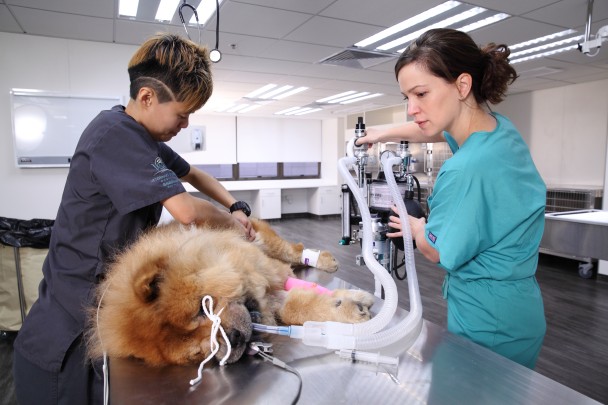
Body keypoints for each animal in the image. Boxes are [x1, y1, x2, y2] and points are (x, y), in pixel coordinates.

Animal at [86, 219, 374, 367]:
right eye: (197, 352)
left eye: (202, 308)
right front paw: (348, 306)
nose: (234, 339)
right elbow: (295, 307)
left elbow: (293, 298)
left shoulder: (270, 273)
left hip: (264, 240)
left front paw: (354, 306)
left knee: (295, 249)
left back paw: (325, 260)